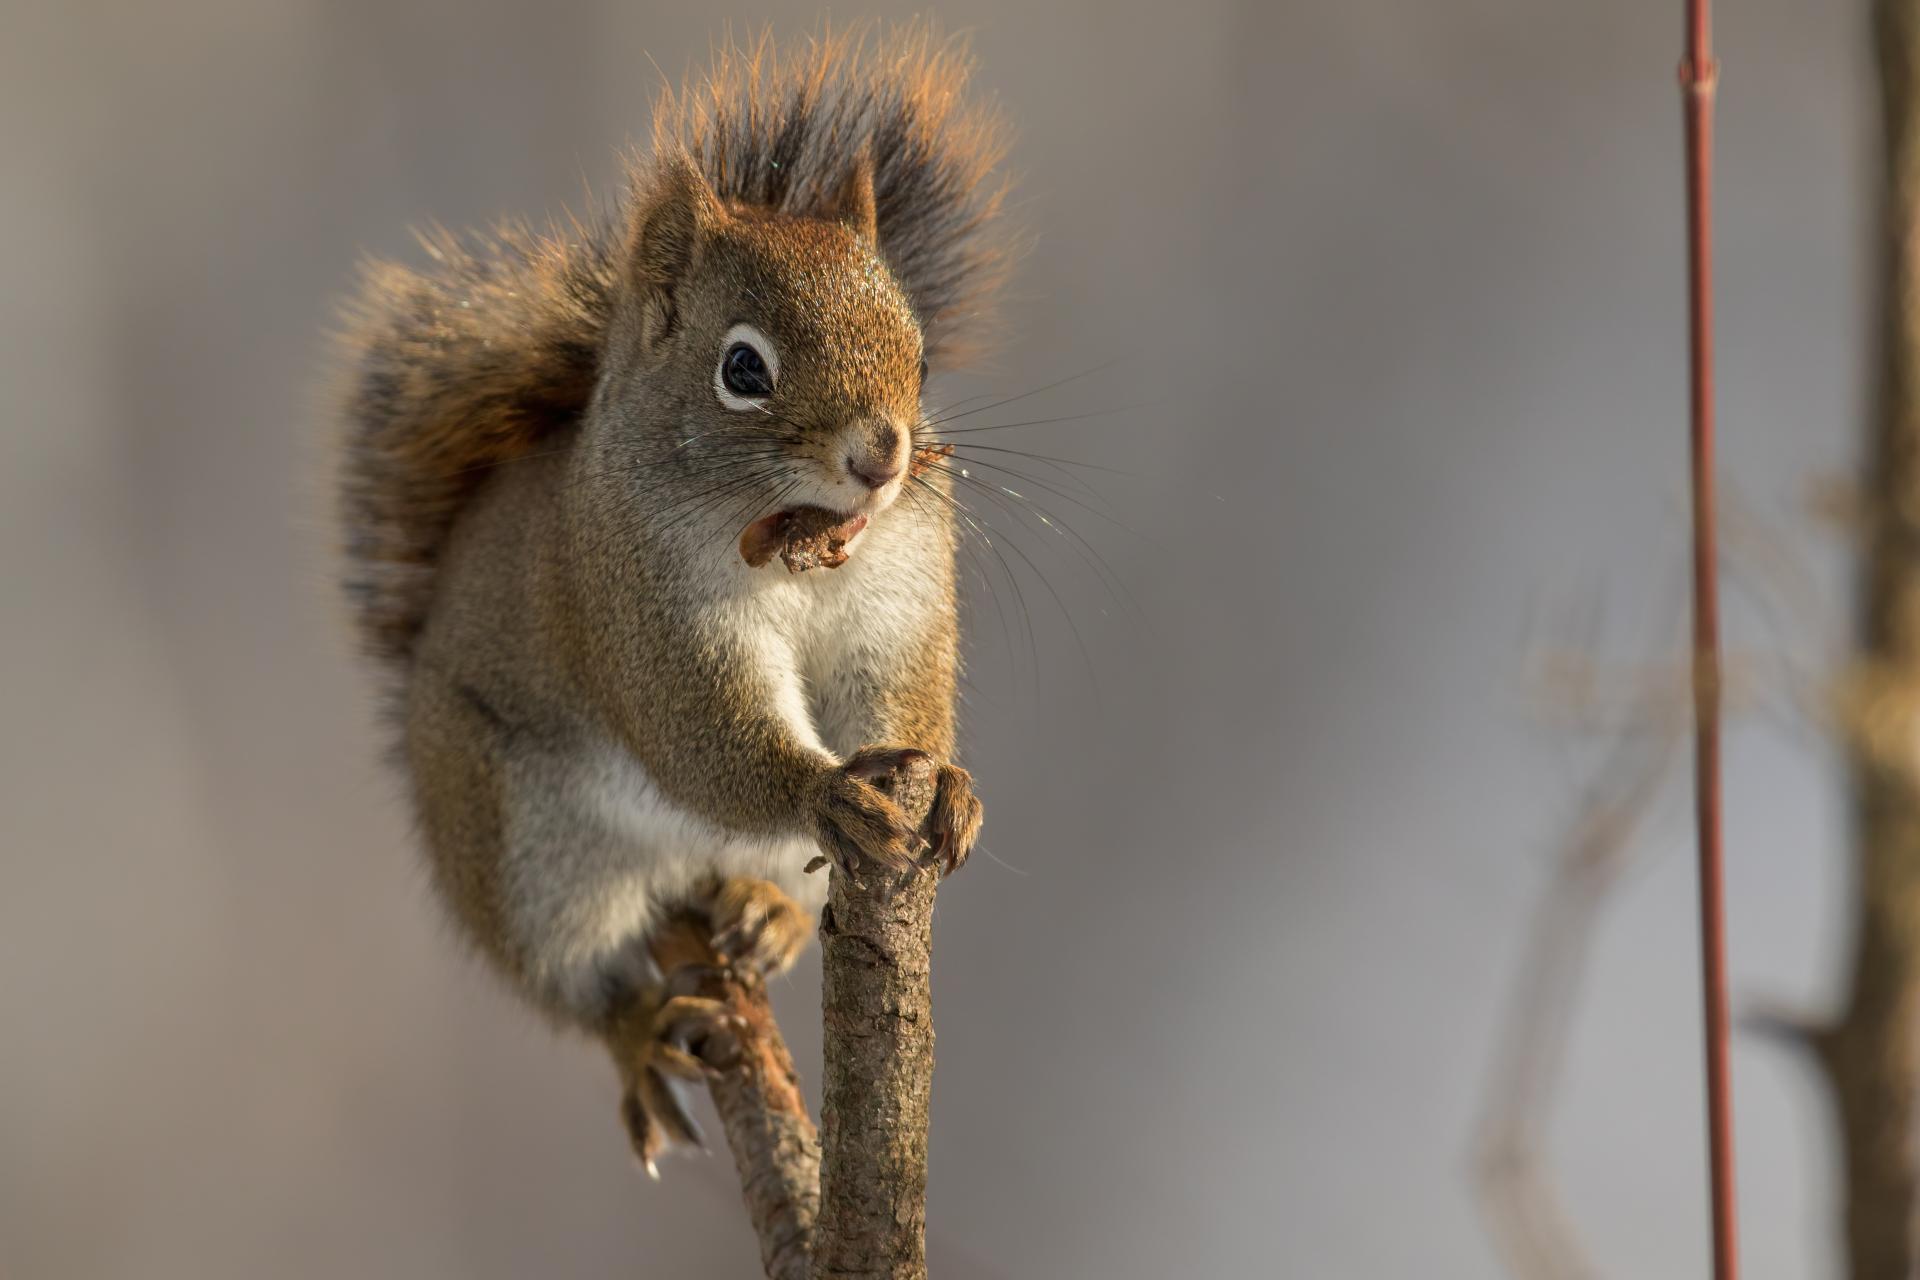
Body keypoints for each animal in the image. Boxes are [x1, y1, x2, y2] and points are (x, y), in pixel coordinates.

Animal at [332, 27, 1009, 1174]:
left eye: (919, 356)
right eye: (743, 369)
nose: (881, 456)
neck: (801, 545)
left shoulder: (903, 595)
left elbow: (903, 701)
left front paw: (951, 790)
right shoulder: (645, 610)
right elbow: (703, 731)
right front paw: (823, 791)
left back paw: (768, 911)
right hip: (524, 848)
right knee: (577, 976)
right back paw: (641, 1027)